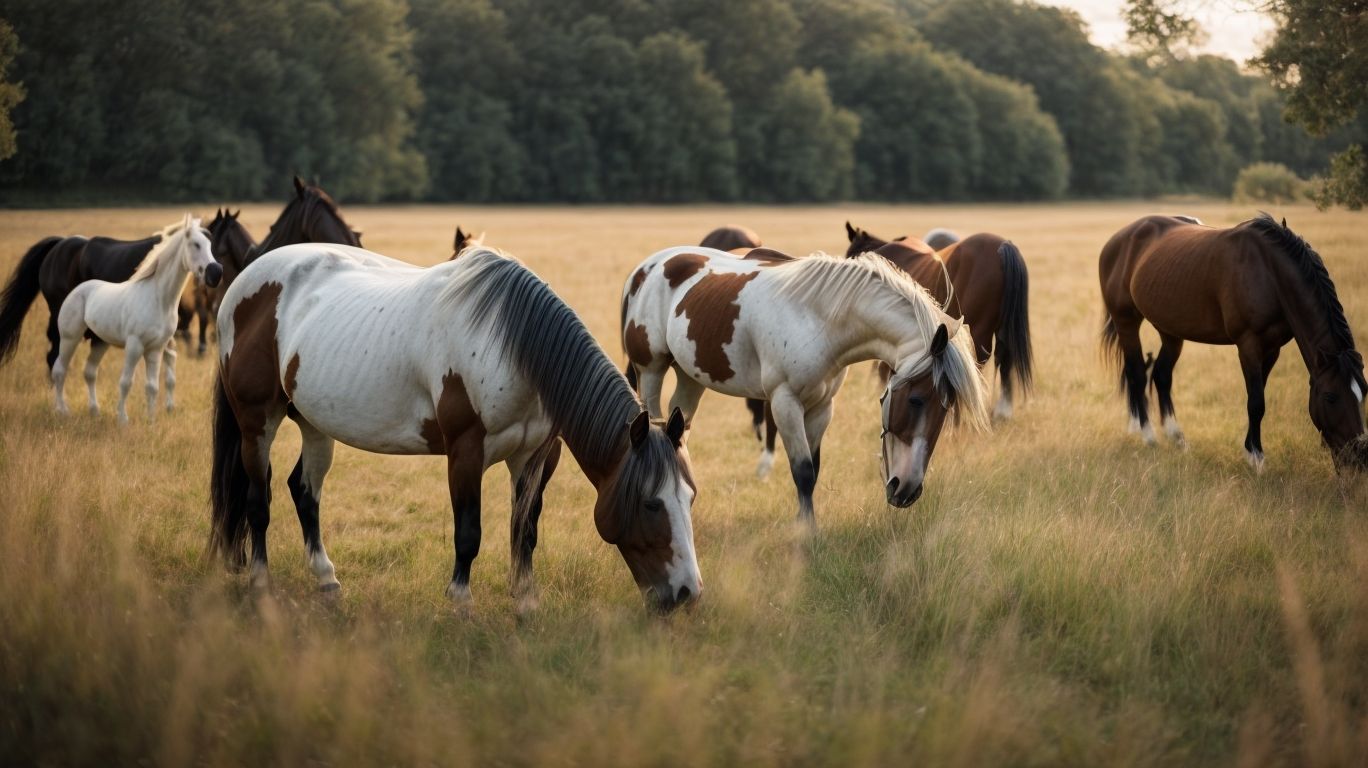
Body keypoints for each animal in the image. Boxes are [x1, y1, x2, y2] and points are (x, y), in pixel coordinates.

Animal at [51, 215, 222, 424]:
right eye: (195, 244)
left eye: (209, 244)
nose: (216, 273)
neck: (158, 299)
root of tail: (77, 291)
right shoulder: (135, 346)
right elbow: (126, 382)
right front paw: (123, 419)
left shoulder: (155, 349)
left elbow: (152, 386)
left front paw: (151, 421)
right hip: (70, 338)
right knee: (59, 370)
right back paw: (62, 410)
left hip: (100, 342)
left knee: (89, 372)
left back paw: (94, 410)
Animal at [209, 244, 701, 613]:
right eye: (650, 503)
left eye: (689, 497)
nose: (687, 593)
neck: (514, 347)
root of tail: (242, 282)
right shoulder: (465, 452)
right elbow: (469, 532)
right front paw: (461, 602)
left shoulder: (537, 455)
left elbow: (525, 529)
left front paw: (525, 601)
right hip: (257, 423)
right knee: (258, 500)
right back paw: (260, 583)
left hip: (314, 422)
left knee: (304, 491)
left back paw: (327, 579)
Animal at [621, 247, 988, 522]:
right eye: (916, 400)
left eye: (947, 408)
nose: (907, 490)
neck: (817, 318)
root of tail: (643, 270)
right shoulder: (785, 403)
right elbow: (803, 472)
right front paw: (806, 535)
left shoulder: (821, 407)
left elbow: (814, 471)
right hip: (651, 370)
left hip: (690, 377)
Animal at [1099, 213, 1368, 470]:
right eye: (1331, 396)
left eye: (1364, 390)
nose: (1359, 456)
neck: (1269, 272)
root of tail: (1119, 239)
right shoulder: (1248, 344)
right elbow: (1256, 402)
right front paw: (1256, 459)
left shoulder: (1272, 349)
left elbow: (1258, 396)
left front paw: (1250, 448)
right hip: (1126, 322)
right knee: (1137, 373)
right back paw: (1148, 436)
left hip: (1170, 329)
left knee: (1161, 376)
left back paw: (1176, 437)